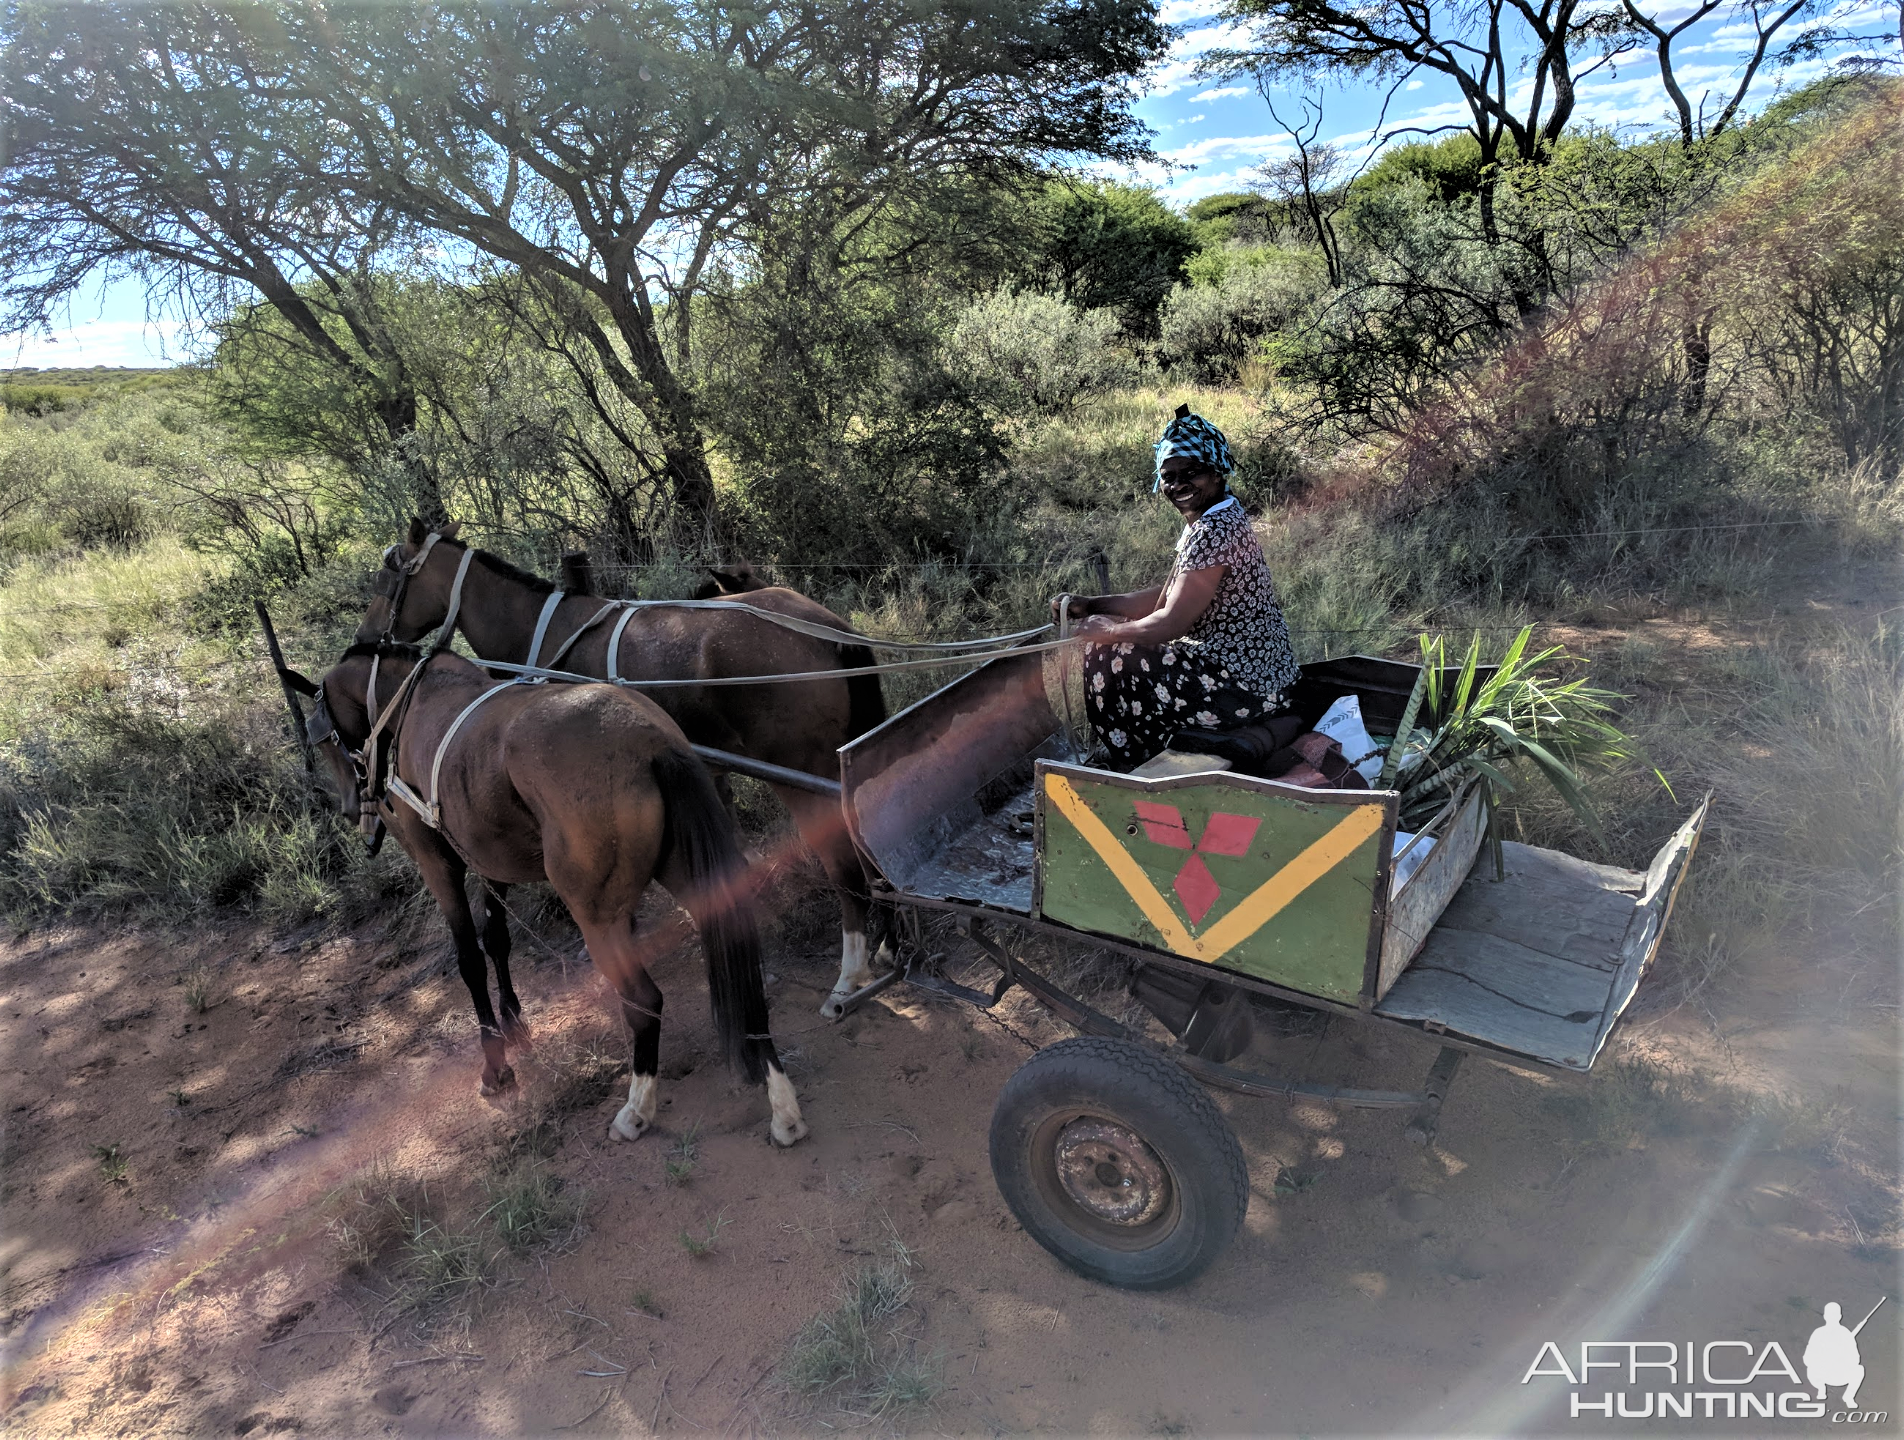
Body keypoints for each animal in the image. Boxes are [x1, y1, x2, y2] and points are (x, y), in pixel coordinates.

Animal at [293, 640, 807, 1150]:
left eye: (322, 739)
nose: (349, 809)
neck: (410, 703)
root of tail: (651, 742)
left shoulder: (437, 862)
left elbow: (470, 959)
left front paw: (496, 1065)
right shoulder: (489, 858)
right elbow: (496, 939)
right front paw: (515, 1025)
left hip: (597, 917)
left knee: (644, 1000)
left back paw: (637, 1109)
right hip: (693, 879)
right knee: (743, 968)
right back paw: (782, 1102)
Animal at [359, 518, 887, 1013]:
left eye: (388, 576)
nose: (367, 638)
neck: (544, 632)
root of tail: (829, 631)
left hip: (801, 776)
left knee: (845, 866)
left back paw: (850, 975)